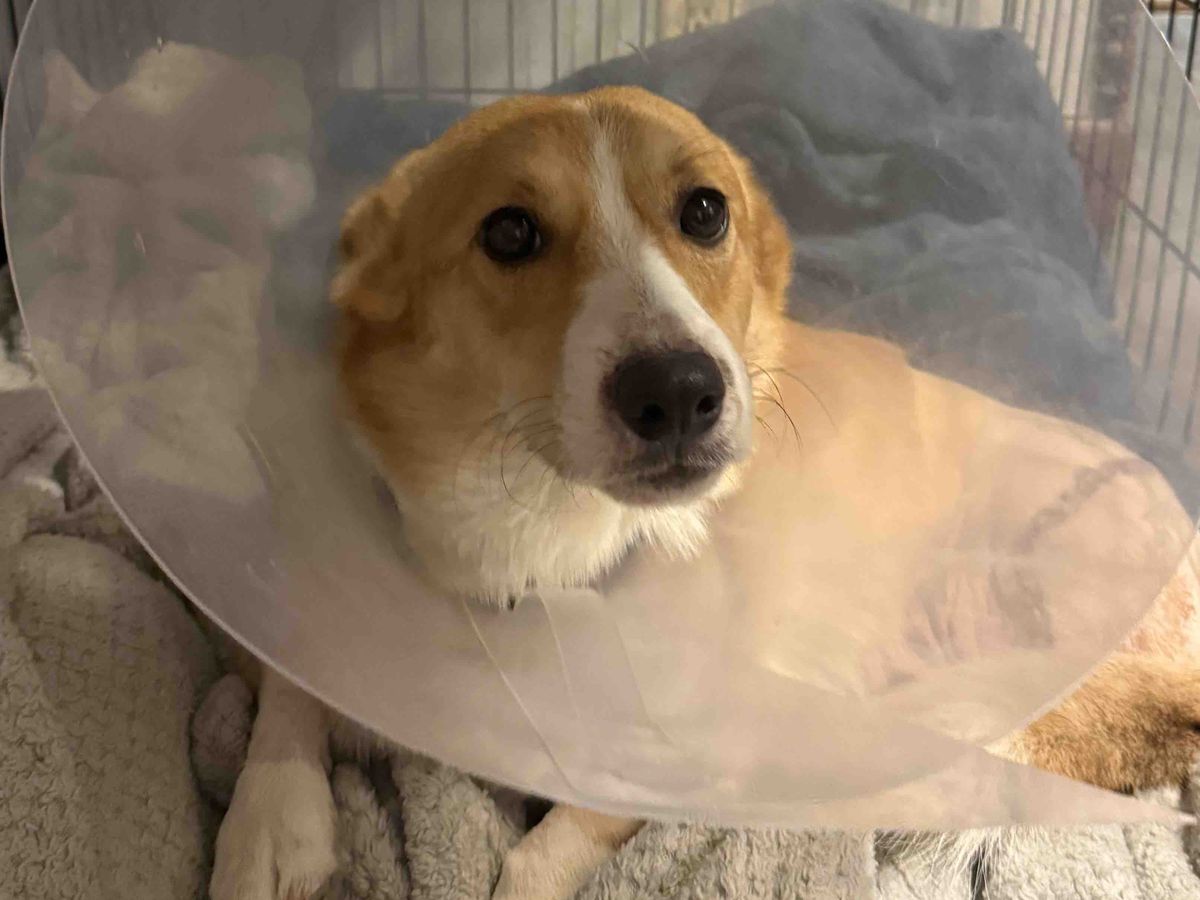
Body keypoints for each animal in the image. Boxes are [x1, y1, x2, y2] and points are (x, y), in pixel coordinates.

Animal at [211, 86, 1200, 900]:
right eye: (509, 232)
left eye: (704, 211)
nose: (680, 391)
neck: (545, 526)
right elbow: (291, 668)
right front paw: (269, 822)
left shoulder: (692, 740)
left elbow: (539, 856)